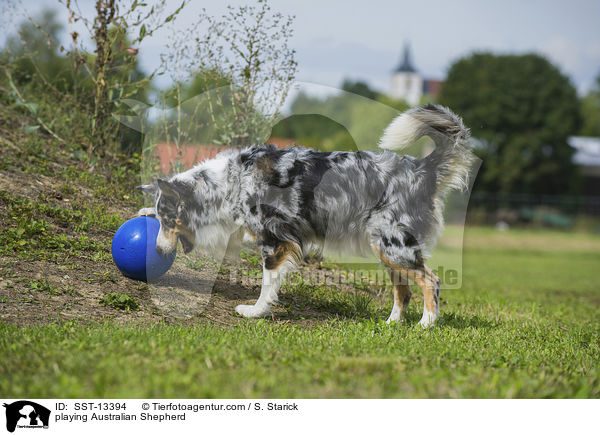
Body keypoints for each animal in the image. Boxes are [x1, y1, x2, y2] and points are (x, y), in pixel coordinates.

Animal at [138, 104, 476, 326]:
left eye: (169, 221)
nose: (157, 251)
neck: (228, 183)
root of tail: (420, 168)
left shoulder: (275, 240)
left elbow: (267, 283)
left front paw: (255, 312)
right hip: (385, 247)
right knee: (403, 290)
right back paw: (392, 324)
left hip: (394, 245)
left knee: (430, 281)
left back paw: (426, 325)